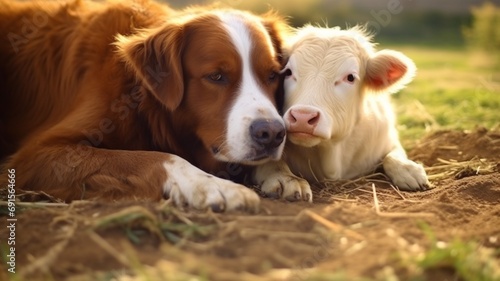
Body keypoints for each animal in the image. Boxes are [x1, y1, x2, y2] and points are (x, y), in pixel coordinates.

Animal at [0, 0, 290, 210]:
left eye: (273, 75)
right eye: (216, 76)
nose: (272, 133)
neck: (141, 99)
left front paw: (281, 173)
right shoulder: (38, 154)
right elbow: (154, 157)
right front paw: (210, 185)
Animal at [254, 25, 430, 201]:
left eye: (350, 77)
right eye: (289, 72)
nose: (302, 117)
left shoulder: (387, 138)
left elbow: (393, 155)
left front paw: (408, 169)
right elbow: (271, 161)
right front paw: (286, 179)